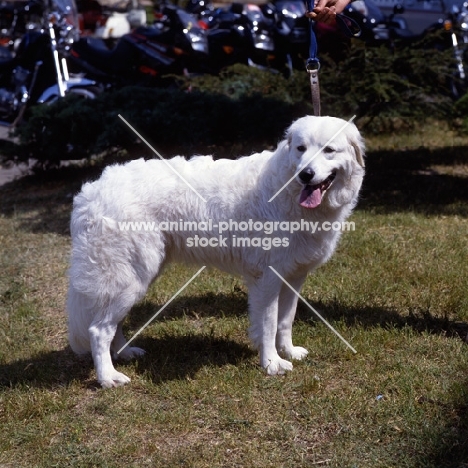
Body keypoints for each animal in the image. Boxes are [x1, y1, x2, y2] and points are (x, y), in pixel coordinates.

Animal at [66, 114, 366, 388]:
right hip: (129, 277)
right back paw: (108, 377)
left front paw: (288, 352)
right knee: (98, 329)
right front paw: (271, 364)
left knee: (112, 324)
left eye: (328, 150)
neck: (287, 189)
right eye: (301, 149)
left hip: (134, 278)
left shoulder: (293, 276)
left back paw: (124, 354)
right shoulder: (267, 278)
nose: (305, 174)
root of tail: (92, 191)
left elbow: (286, 320)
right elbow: (268, 324)